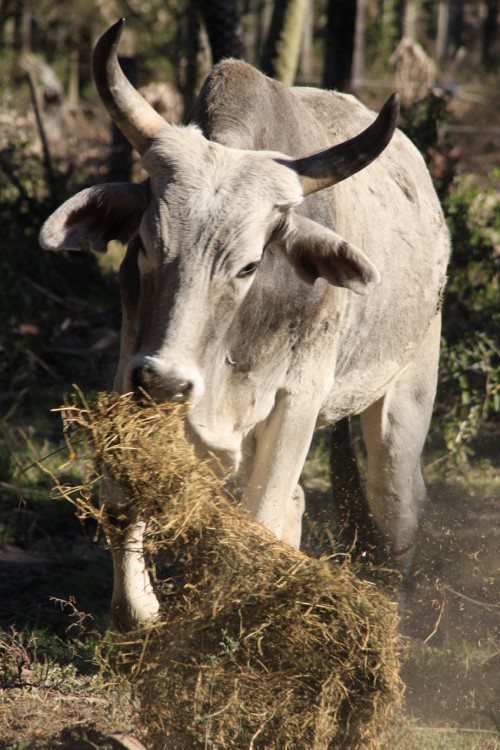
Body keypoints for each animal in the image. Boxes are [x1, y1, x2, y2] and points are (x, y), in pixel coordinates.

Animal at [41, 20, 452, 632]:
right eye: (145, 245)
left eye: (250, 265)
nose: (166, 381)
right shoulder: (130, 373)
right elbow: (124, 514)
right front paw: (147, 611)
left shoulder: (298, 399)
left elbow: (261, 515)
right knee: (301, 505)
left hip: (405, 396)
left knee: (395, 500)